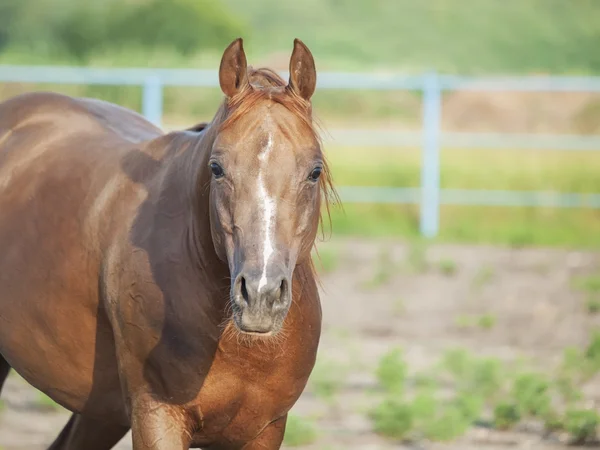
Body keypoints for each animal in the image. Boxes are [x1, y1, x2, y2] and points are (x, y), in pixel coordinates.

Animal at [0, 38, 336, 450]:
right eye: (217, 168)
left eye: (314, 171)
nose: (261, 295)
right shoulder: (156, 416)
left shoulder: (265, 429)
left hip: (101, 413)